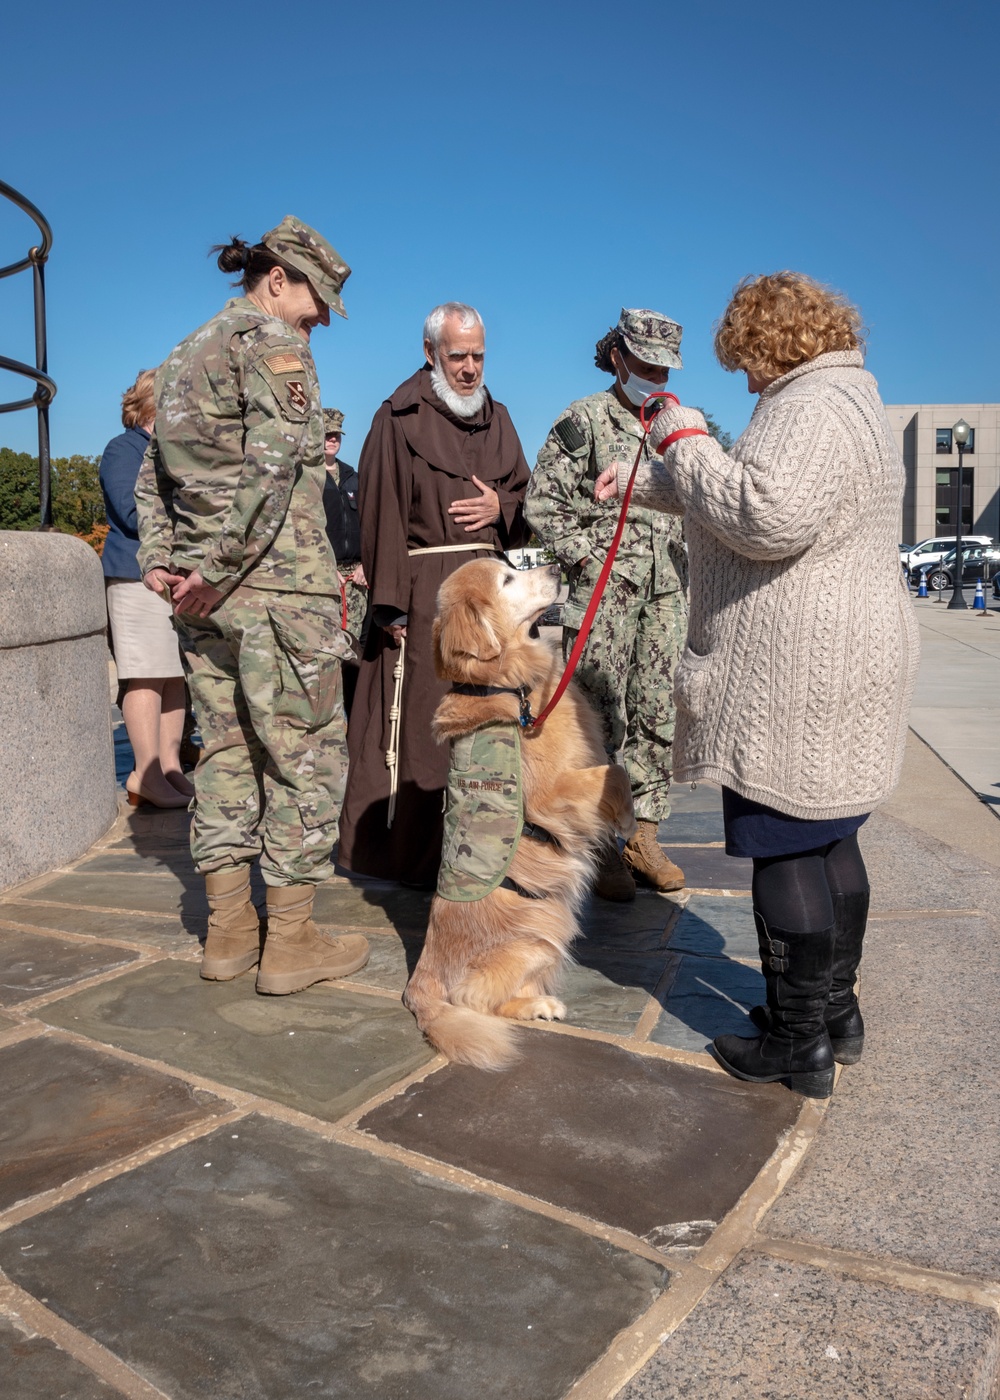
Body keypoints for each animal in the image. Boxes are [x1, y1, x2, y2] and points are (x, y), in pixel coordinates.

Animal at [400, 557, 635, 1069]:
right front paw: (626, 821)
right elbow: (617, 771)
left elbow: (617, 767)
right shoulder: (551, 793)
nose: (555, 567)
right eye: (508, 579)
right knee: (474, 1000)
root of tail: (418, 982)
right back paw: (536, 1006)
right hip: (541, 933)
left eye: (511, 563)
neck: (508, 684)